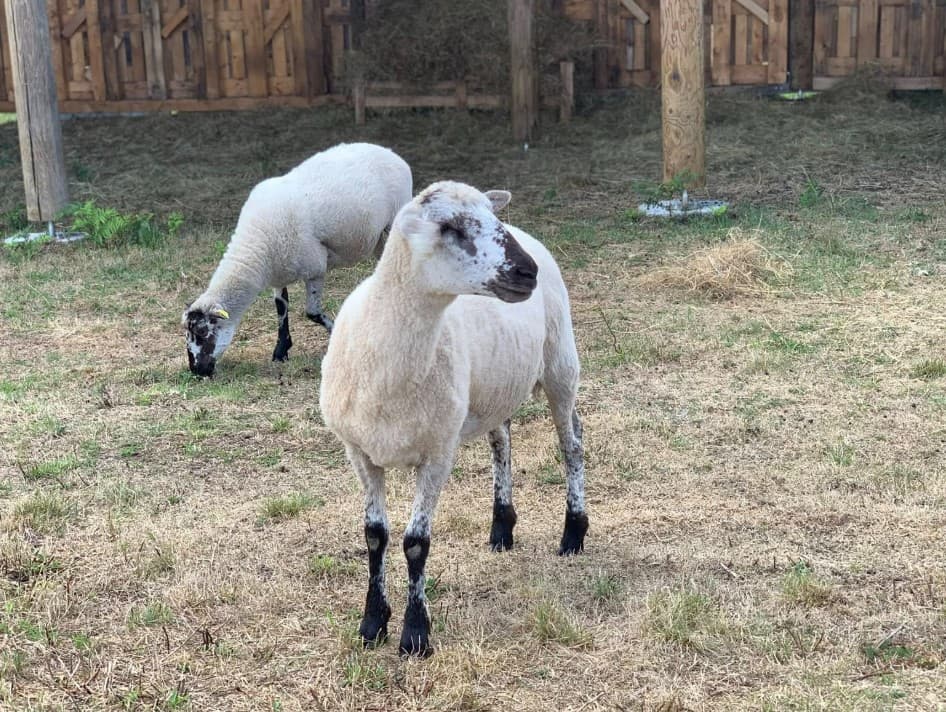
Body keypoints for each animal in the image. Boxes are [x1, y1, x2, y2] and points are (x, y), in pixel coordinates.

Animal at [183, 143, 413, 377]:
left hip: (395, 219)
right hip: (378, 239)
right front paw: (281, 351)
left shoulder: (315, 267)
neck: (255, 249)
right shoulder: (279, 272)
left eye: (202, 332)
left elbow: (312, 313)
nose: (196, 370)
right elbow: (281, 309)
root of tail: (387, 151)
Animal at [319, 181, 588, 657]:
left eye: (490, 218)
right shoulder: (359, 452)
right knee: (502, 441)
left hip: (560, 363)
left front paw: (414, 634)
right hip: (493, 386)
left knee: (571, 443)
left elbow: (415, 544)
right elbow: (374, 535)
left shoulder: (438, 453)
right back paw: (502, 527)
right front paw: (372, 623)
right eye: (449, 227)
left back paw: (573, 533)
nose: (527, 272)